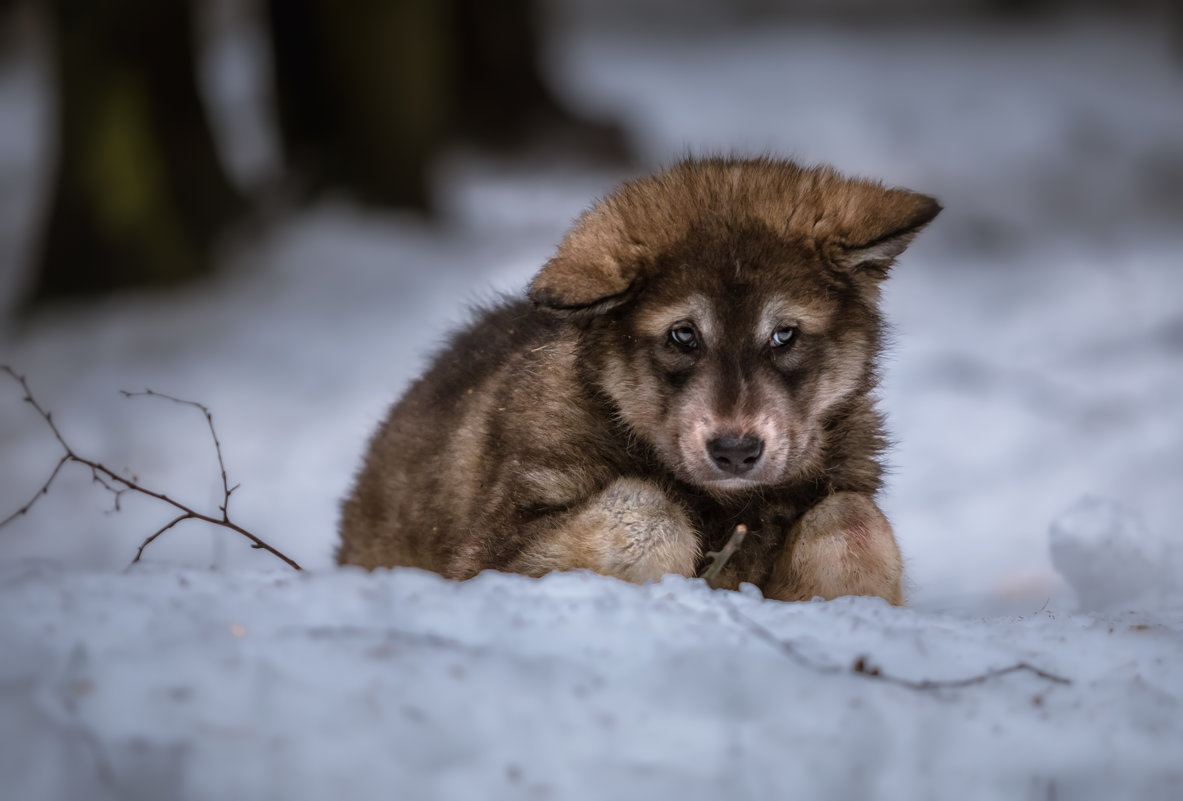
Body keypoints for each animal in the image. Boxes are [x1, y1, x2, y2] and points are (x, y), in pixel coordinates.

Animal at [338, 156, 936, 603]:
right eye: (683, 335)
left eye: (784, 334)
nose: (736, 451)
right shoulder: (488, 557)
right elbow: (650, 512)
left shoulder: (843, 497)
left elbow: (853, 523)